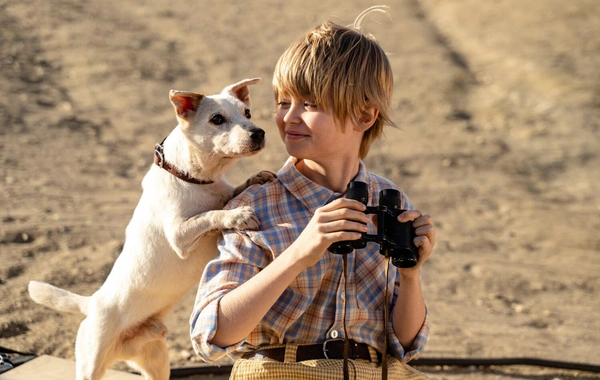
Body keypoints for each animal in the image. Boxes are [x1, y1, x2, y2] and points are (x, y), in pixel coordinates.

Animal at [27, 77, 272, 380]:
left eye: (247, 113)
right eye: (217, 119)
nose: (259, 133)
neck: (192, 178)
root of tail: (92, 303)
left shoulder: (219, 193)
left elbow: (229, 194)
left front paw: (256, 177)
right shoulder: (179, 235)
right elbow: (213, 213)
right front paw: (238, 215)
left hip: (157, 364)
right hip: (90, 363)